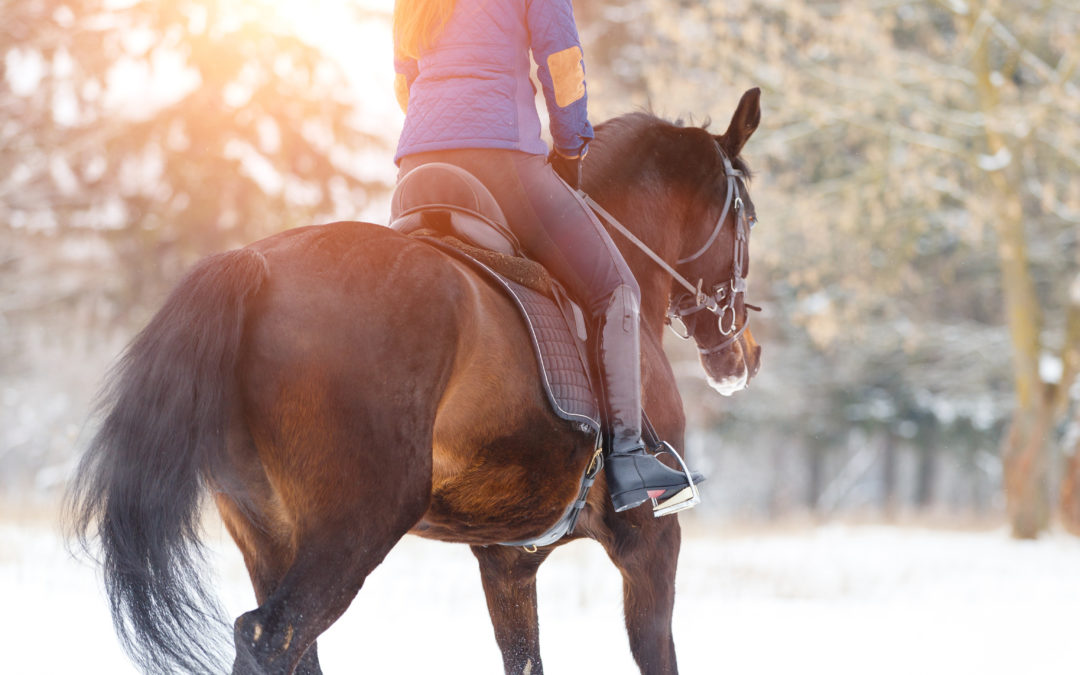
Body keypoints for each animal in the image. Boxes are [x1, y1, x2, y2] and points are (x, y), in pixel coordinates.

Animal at [68, 88, 763, 675]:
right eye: (749, 219)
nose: (745, 356)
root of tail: (257, 265)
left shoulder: (508, 560)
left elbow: (525, 659)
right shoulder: (651, 538)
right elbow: (655, 653)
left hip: (269, 533)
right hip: (356, 525)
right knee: (271, 637)